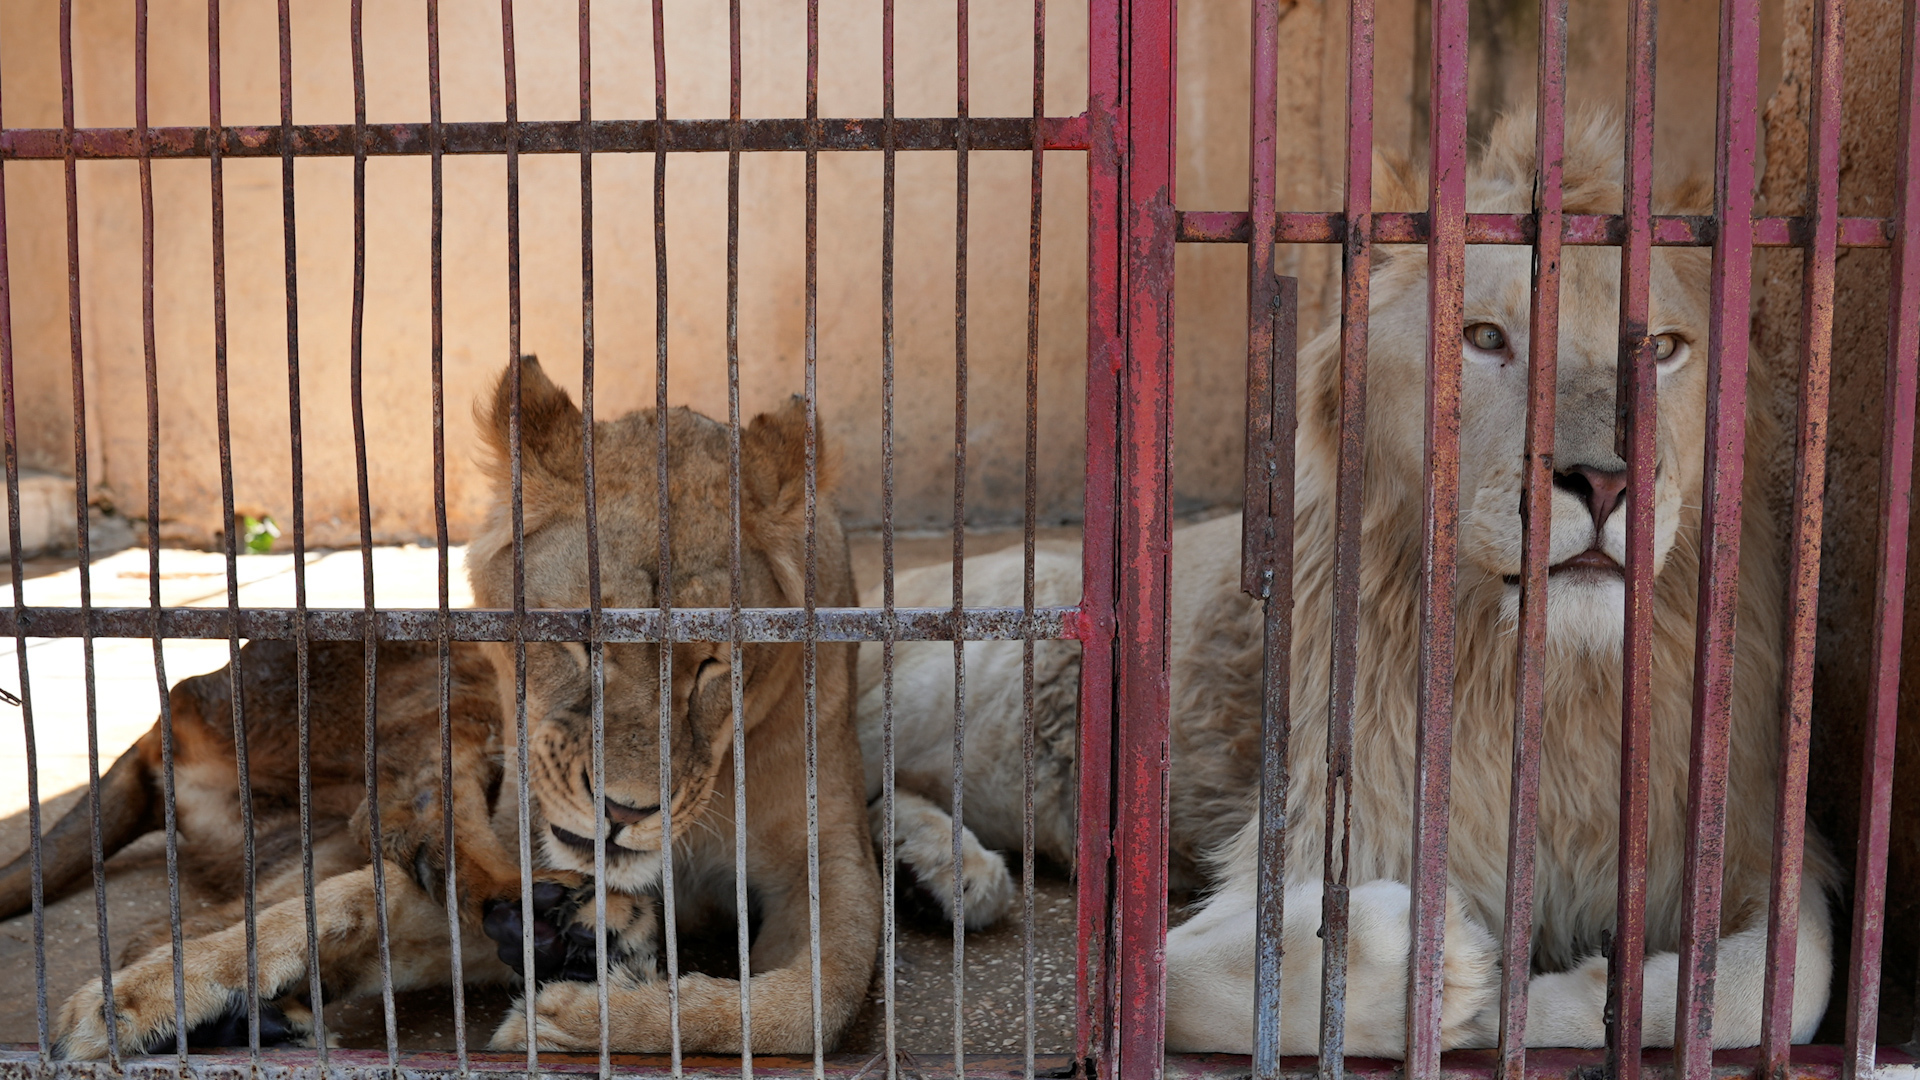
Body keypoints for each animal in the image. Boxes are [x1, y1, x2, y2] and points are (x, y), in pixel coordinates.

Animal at [16, 357, 881, 1056]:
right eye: (577, 639)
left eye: (711, 663)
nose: (626, 812)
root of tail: (177, 709)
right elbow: (356, 900)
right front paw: (139, 999)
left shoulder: (830, 856)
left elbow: (818, 998)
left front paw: (581, 1015)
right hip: (440, 677)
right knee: (387, 837)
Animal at [862, 109, 1837, 1055]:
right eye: (1485, 338)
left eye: (1665, 350)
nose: (1605, 483)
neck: (1552, 681)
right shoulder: (1313, 830)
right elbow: (1170, 983)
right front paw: (1453, 975)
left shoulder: (1742, 837)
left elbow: (1778, 986)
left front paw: (1565, 1001)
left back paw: (935, 874)